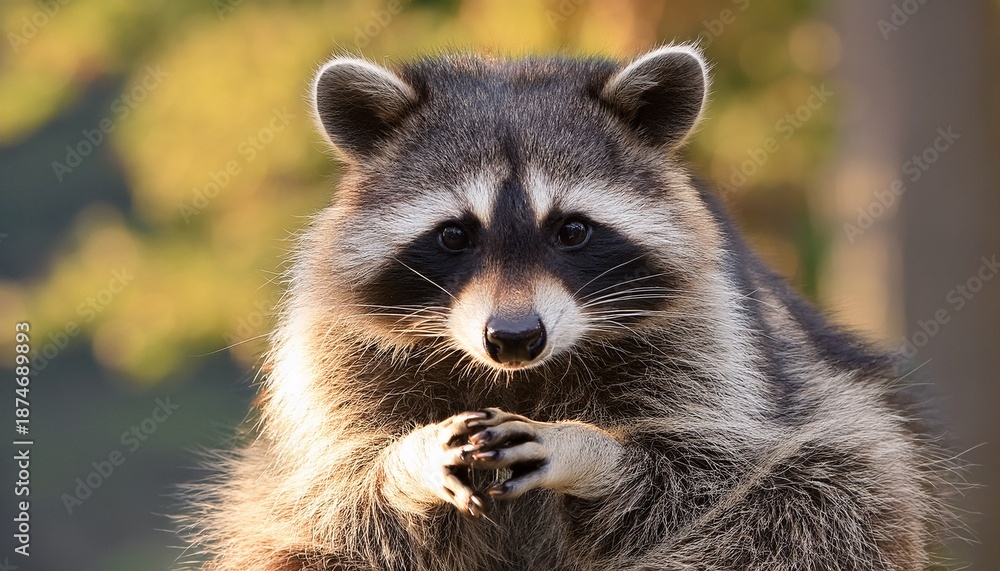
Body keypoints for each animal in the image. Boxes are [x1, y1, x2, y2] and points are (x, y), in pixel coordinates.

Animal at [180, 46, 952, 570]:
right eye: (454, 235)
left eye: (572, 230)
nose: (515, 337)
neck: (519, 378)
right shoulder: (335, 348)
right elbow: (335, 484)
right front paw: (408, 459)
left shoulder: (712, 330)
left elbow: (716, 464)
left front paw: (589, 449)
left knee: (828, 491)